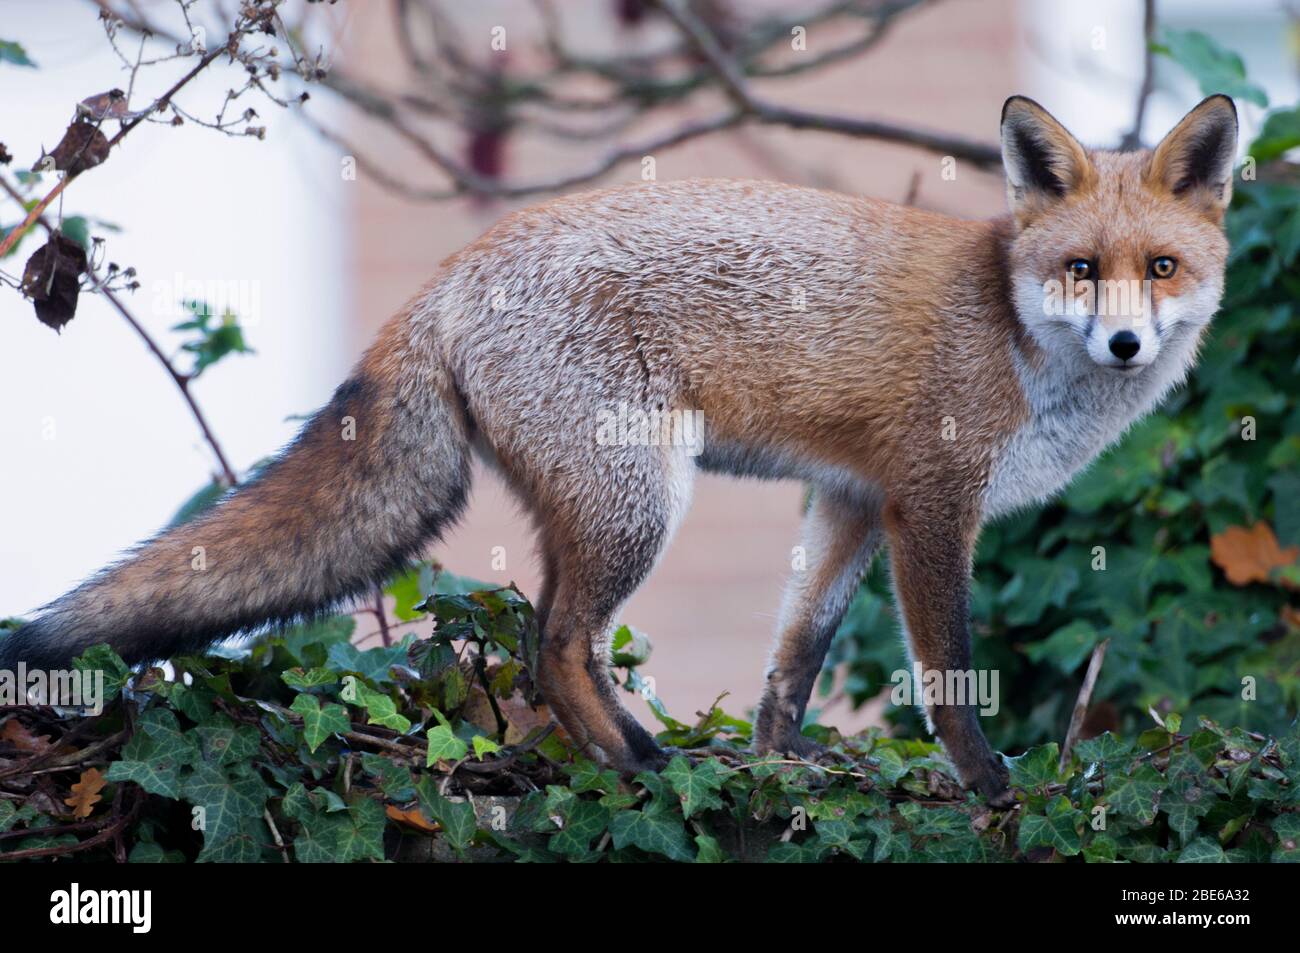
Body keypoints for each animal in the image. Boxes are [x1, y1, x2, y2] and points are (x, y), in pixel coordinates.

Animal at [0, 96, 1237, 800]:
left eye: (1158, 268)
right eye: (1080, 269)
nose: (1126, 342)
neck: (1013, 328)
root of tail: (451, 276)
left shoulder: (849, 500)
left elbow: (795, 654)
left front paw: (780, 763)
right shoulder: (931, 503)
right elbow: (949, 670)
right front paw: (985, 783)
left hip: (612, 502)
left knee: (561, 640)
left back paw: (643, 755)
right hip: (639, 500)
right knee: (553, 643)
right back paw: (639, 763)